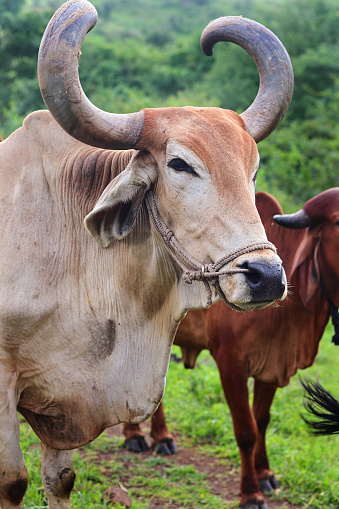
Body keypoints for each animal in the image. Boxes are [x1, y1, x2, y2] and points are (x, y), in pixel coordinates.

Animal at [0, 1, 294, 506]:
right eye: (179, 164)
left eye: (252, 169)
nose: (266, 276)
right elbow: (13, 481)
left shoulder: (66, 400)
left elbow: (60, 478)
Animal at [124, 190, 339, 508]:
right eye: (337, 221)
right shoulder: (230, 363)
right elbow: (246, 430)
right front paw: (251, 492)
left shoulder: (270, 366)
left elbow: (261, 421)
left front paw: (265, 473)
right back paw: (134, 435)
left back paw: (161, 437)